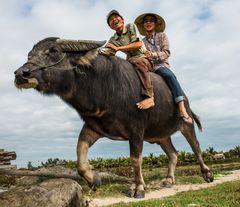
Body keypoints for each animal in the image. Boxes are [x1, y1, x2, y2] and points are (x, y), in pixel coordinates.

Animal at [14, 37, 213, 199]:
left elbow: (135, 158)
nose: (21, 74)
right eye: (30, 54)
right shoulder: (93, 126)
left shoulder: (136, 129)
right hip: (161, 135)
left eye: (54, 51)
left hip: (186, 123)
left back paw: (207, 174)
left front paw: (138, 188)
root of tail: (185, 98)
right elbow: (80, 154)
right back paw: (169, 180)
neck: (104, 86)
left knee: (196, 147)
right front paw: (94, 180)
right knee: (173, 153)